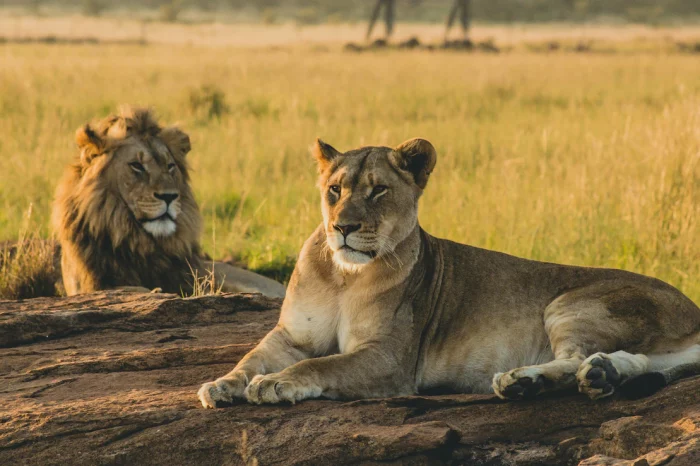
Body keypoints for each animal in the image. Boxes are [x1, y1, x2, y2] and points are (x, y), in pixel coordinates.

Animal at [198, 138, 700, 408]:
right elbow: (252, 357)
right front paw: (222, 385)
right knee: (634, 361)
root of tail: (692, 308)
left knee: (575, 358)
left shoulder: (390, 359)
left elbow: (322, 363)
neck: (345, 277)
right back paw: (598, 376)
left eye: (378, 191)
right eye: (334, 190)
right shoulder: (291, 335)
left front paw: (276, 383)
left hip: (570, 302)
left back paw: (525, 381)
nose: (343, 227)